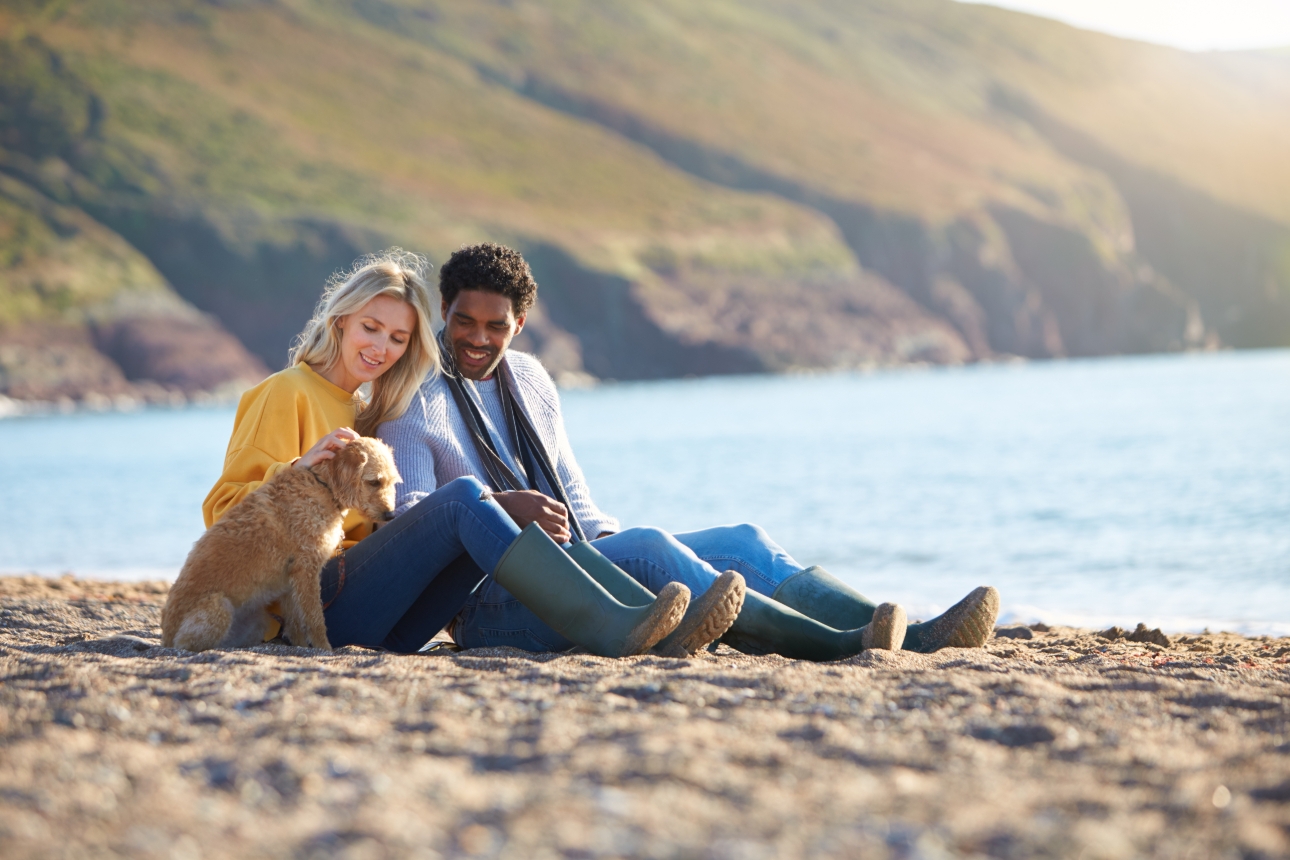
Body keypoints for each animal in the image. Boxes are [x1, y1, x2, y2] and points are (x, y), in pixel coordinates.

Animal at [163, 438, 399, 652]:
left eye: (392, 482)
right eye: (374, 482)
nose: (390, 515)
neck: (322, 486)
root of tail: (166, 637)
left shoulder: (290, 582)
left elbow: (295, 624)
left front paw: (301, 647)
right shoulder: (306, 571)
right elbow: (315, 619)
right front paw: (324, 649)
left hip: (257, 622)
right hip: (217, 608)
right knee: (186, 645)